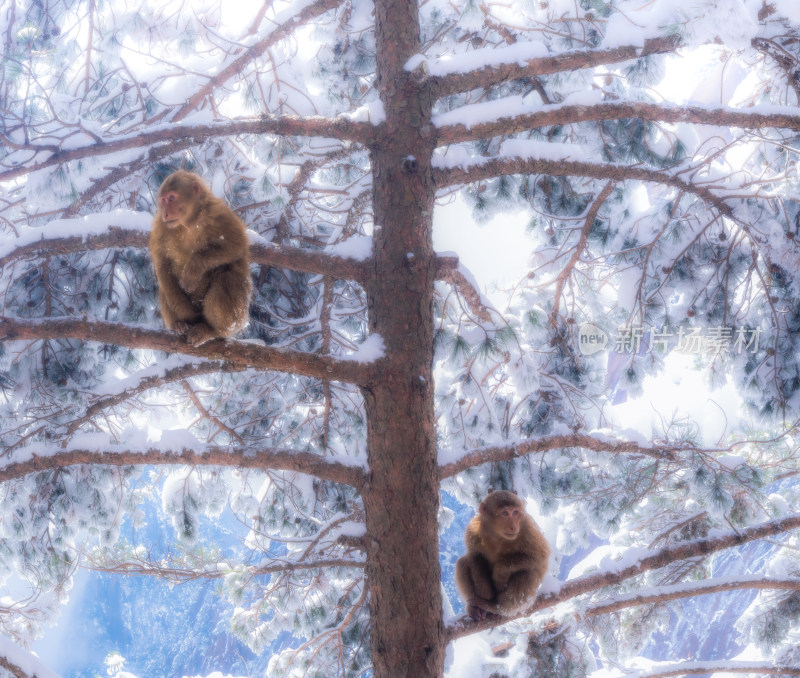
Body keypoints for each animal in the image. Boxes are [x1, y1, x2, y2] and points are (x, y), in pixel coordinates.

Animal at [148, 170, 252, 350]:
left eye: (171, 198)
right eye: (163, 200)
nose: (165, 213)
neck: (189, 223)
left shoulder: (218, 213)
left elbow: (236, 245)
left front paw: (192, 270)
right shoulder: (161, 226)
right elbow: (162, 264)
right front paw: (182, 309)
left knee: (228, 277)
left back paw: (213, 330)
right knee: (165, 287)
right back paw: (179, 323)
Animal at [456, 488, 552, 620]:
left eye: (515, 512)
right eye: (505, 513)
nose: (513, 527)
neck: (497, 536)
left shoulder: (528, 529)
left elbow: (541, 556)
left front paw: (500, 571)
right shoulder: (472, 530)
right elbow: (475, 557)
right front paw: (485, 594)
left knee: (528, 573)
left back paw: (496, 607)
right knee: (463, 562)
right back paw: (477, 607)